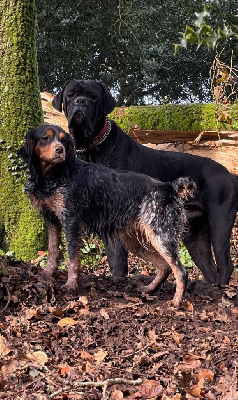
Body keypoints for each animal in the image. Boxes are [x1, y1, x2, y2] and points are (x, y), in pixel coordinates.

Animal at [18, 125, 196, 306]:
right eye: (45, 138)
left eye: (63, 140)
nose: (59, 150)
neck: (53, 175)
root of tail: (169, 187)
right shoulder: (51, 220)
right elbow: (53, 249)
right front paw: (48, 273)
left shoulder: (71, 221)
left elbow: (72, 257)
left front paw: (71, 284)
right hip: (135, 241)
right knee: (164, 267)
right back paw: (148, 289)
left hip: (161, 236)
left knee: (181, 270)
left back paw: (176, 302)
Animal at [52, 79, 238, 284]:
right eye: (71, 95)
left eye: (93, 96)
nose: (81, 102)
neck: (91, 147)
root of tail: (230, 174)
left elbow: (118, 261)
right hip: (194, 235)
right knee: (209, 267)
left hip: (219, 222)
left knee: (225, 264)